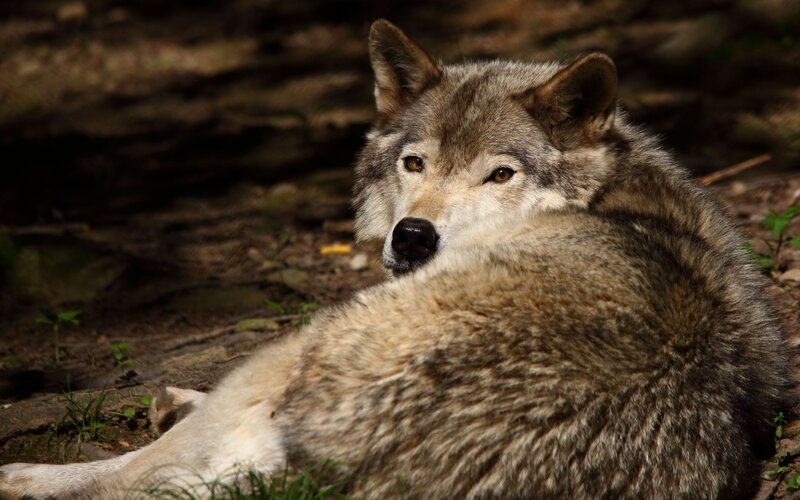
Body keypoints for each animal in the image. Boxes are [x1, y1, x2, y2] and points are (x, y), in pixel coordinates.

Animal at [0, 19, 790, 499]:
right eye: (415, 163)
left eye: (499, 175)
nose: (412, 237)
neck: (614, 194)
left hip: (299, 343)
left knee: (135, 472)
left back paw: (28, 473)